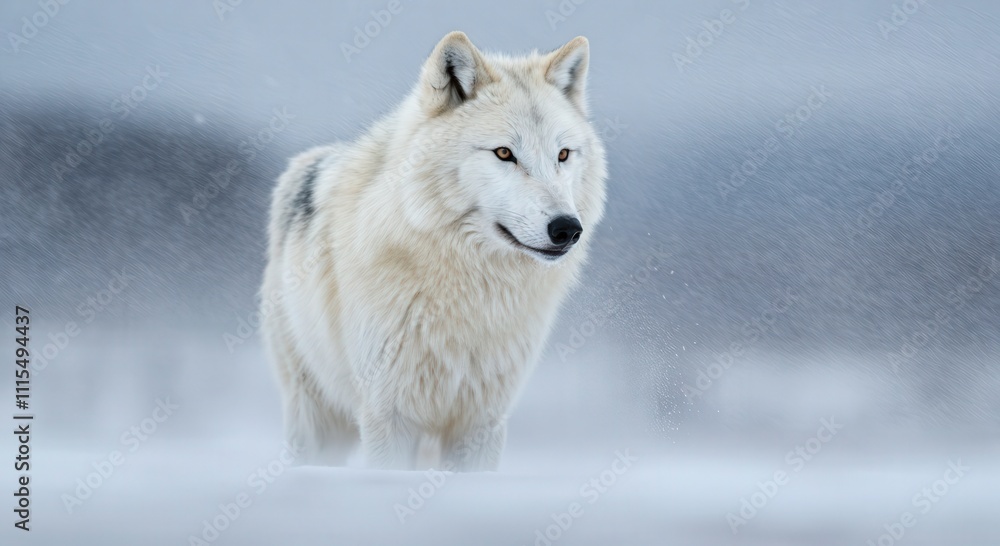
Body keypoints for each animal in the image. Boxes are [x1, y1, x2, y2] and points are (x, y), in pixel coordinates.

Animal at [261, 31, 607, 471]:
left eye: (562, 155)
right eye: (504, 153)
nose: (567, 228)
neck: (470, 288)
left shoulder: (482, 421)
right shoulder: (389, 415)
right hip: (317, 421)